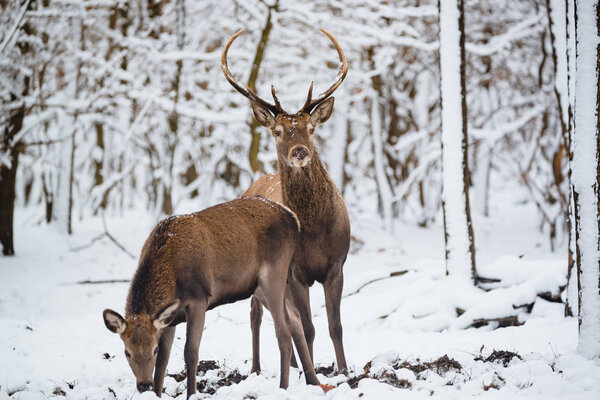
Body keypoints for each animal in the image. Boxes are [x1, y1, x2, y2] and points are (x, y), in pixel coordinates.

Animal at [102, 196, 324, 396]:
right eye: (127, 352)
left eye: (152, 350)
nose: (144, 385)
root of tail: (292, 218)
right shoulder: (170, 318)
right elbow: (165, 360)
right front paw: (156, 393)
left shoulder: (198, 300)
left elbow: (190, 352)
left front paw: (191, 393)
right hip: (258, 286)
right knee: (294, 317)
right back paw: (313, 381)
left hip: (274, 273)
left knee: (283, 329)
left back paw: (283, 387)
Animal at [221, 27, 352, 372]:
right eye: (277, 131)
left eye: (311, 128)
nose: (300, 152)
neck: (316, 230)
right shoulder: (295, 273)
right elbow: (308, 327)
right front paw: (311, 372)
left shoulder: (336, 264)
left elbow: (335, 326)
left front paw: (344, 370)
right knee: (256, 313)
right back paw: (256, 367)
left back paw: (291, 364)